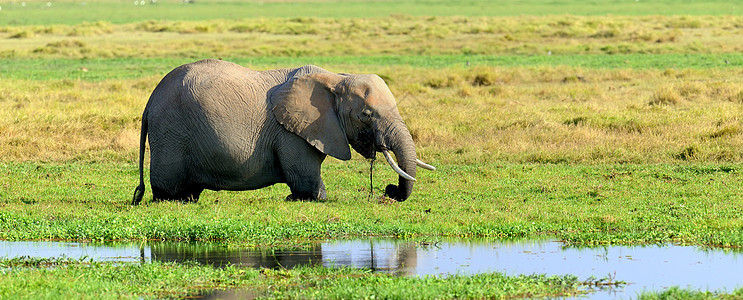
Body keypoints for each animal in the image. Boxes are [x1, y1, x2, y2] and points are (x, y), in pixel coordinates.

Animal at [131, 58, 434, 204]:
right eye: (366, 115)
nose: (389, 191)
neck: (335, 78)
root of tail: (149, 101)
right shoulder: (290, 132)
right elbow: (304, 174)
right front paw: (308, 199)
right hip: (171, 133)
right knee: (170, 189)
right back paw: (176, 200)